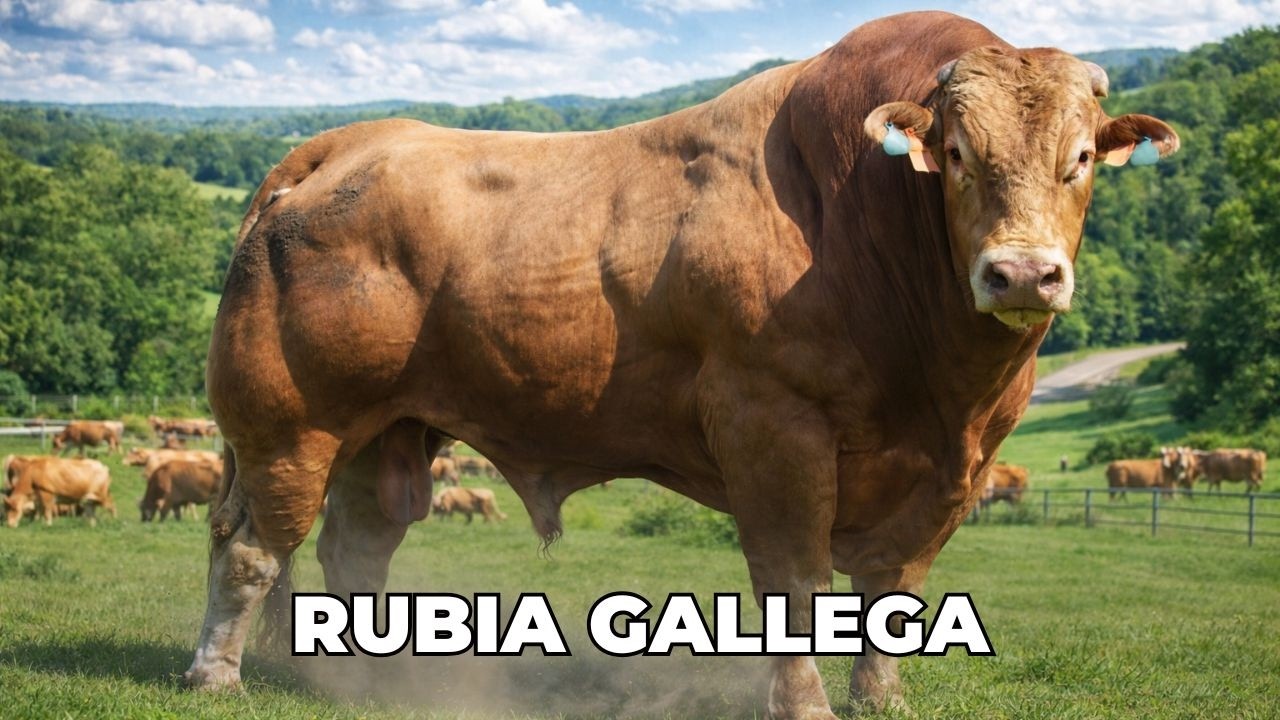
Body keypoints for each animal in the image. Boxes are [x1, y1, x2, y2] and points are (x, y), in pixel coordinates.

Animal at [182, 12, 1177, 716]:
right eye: (960, 155)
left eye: (1082, 158)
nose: (1023, 273)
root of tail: (340, 143)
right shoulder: (774, 427)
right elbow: (794, 580)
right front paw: (805, 706)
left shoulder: (951, 473)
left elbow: (895, 590)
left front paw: (882, 698)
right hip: (289, 425)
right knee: (251, 547)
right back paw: (215, 675)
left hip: (387, 430)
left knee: (355, 549)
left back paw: (366, 685)